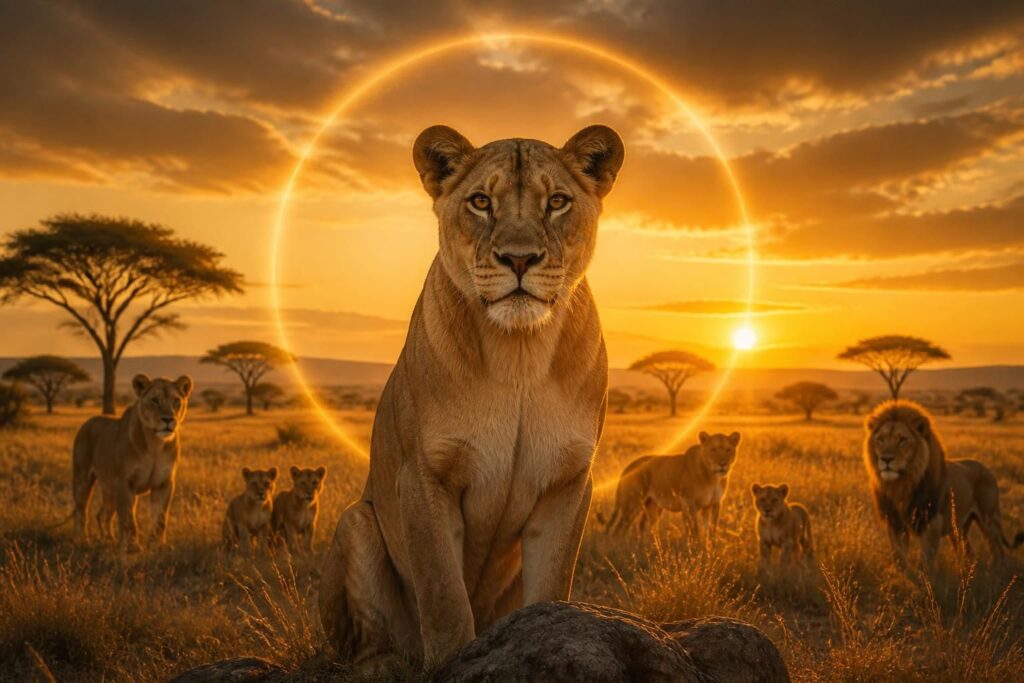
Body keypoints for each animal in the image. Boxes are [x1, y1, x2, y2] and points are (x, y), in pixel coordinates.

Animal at [71, 374, 193, 551]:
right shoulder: (125, 482)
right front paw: (132, 547)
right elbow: (128, 519)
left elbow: (160, 518)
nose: (168, 419)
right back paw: (82, 540)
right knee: (81, 510)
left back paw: (110, 540)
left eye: (176, 401)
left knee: (103, 514)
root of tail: (87, 422)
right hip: (83, 478)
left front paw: (157, 545)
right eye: (155, 400)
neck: (155, 445)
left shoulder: (164, 483)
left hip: (109, 487)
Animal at [318, 124, 623, 672]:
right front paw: (450, 663)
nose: (519, 259)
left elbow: (552, 587)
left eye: (558, 202)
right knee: (371, 641)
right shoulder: (426, 476)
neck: (519, 354)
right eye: (481, 202)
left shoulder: (567, 482)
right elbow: (443, 598)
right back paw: (384, 663)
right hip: (357, 521)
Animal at [598, 431, 741, 541]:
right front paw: (696, 549)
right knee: (621, 527)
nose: (722, 464)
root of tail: (628, 466)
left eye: (728, 450)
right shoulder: (688, 502)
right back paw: (620, 546)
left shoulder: (714, 504)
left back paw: (649, 546)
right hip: (633, 504)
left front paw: (709, 549)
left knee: (643, 526)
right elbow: (693, 528)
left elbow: (711, 528)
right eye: (713, 450)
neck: (712, 478)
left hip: (652, 506)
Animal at [864, 400, 1024, 569]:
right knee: (969, 552)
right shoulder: (895, 523)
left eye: (902, 440)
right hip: (958, 528)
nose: (886, 459)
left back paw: (995, 571)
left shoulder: (932, 522)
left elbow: (925, 562)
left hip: (989, 519)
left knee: (998, 550)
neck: (903, 484)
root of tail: (986, 469)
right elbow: (899, 559)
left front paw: (924, 576)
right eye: (880, 439)